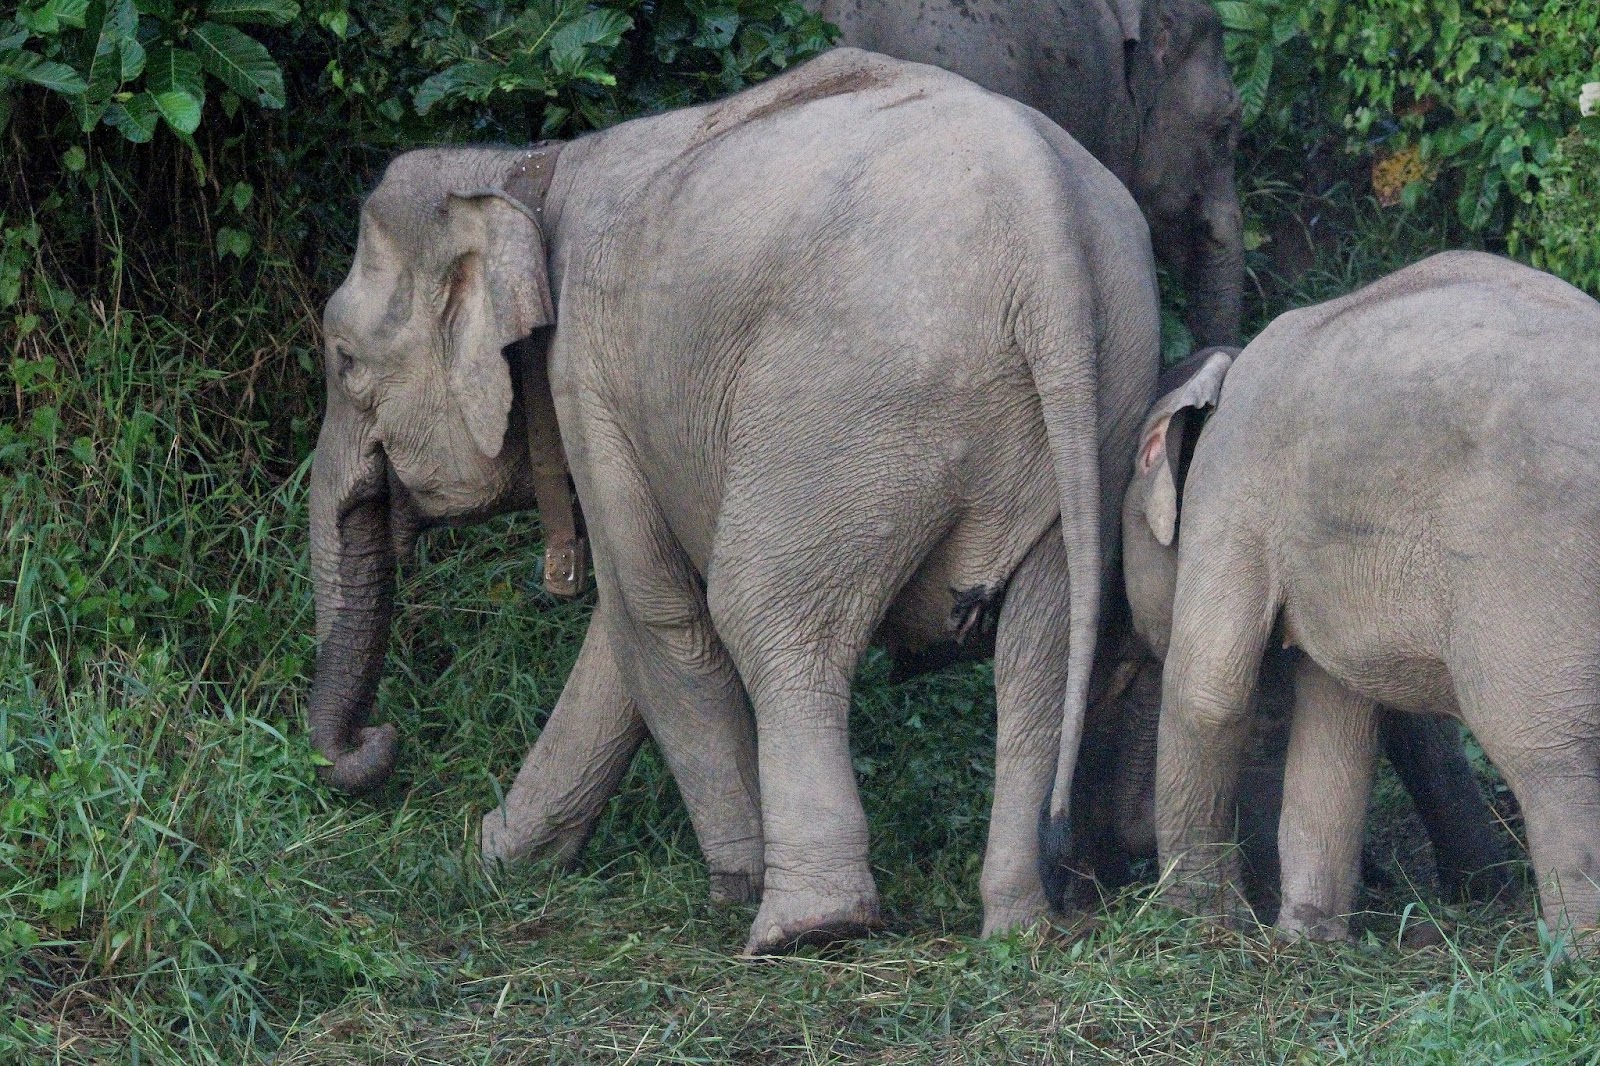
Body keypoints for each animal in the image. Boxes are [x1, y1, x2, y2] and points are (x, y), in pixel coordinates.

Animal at [308, 48, 1162, 954]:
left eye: (346, 360)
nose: (378, 741)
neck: (523, 169)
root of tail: (1046, 224)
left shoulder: (587, 373)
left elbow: (655, 614)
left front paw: (729, 884)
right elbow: (623, 634)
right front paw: (497, 859)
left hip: (853, 402)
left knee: (766, 611)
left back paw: (803, 927)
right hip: (1093, 408)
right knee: (1043, 645)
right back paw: (1021, 928)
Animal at [1118, 251, 1600, 948]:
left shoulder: (1231, 489)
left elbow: (1208, 690)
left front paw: (1196, 927)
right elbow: (1337, 719)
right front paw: (1307, 943)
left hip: (1533, 560)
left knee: (1549, 750)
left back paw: (1572, 957)